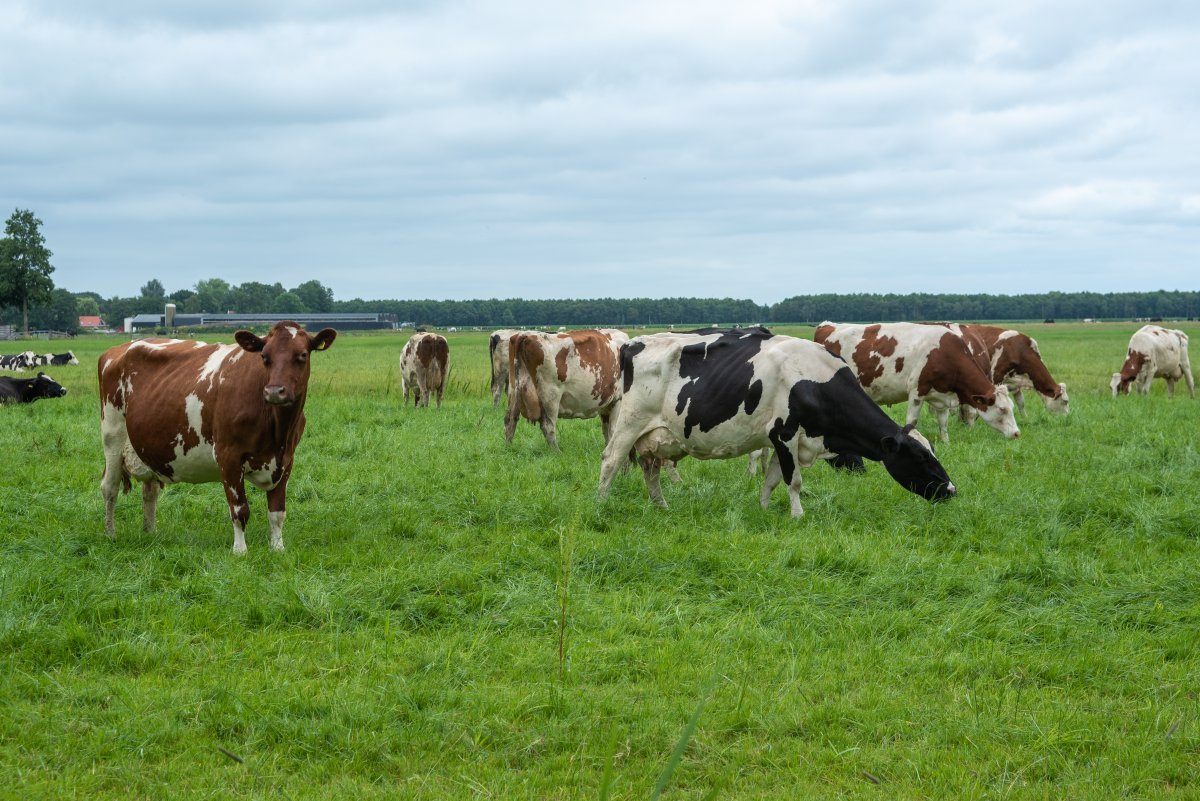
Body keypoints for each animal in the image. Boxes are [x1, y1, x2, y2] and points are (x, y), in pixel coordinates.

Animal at [94, 318, 333, 551]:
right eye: (264, 356)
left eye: (302, 355)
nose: (274, 391)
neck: (277, 431)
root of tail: (120, 347)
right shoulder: (228, 457)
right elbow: (239, 510)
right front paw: (240, 551)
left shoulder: (286, 460)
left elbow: (277, 512)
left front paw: (277, 548)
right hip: (112, 436)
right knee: (110, 487)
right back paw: (110, 534)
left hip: (147, 446)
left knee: (150, 491)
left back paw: (150, 533)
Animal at [600, 326, 955, 520]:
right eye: (920, 457)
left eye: (933, 451)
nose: (951, 489)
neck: (815, 380)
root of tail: (631, 343)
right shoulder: (785, 434)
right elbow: (793, 481)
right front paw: (798, 515)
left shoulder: (782, 439)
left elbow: (771, 480)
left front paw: (764, 509)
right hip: (630, 422)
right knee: (610, 461)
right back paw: (600, 505)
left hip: (654, 437)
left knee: (650, 469)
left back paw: (661, 507)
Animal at [811, 321, 1017, 443]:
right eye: (1002, 409)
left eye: (1011, 407)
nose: (1017, 433)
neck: (944, 353)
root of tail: (829, 326)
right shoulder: (917, 391)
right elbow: (912, 420)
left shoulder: (941, 396)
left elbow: (943, 422)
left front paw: (946, 442)